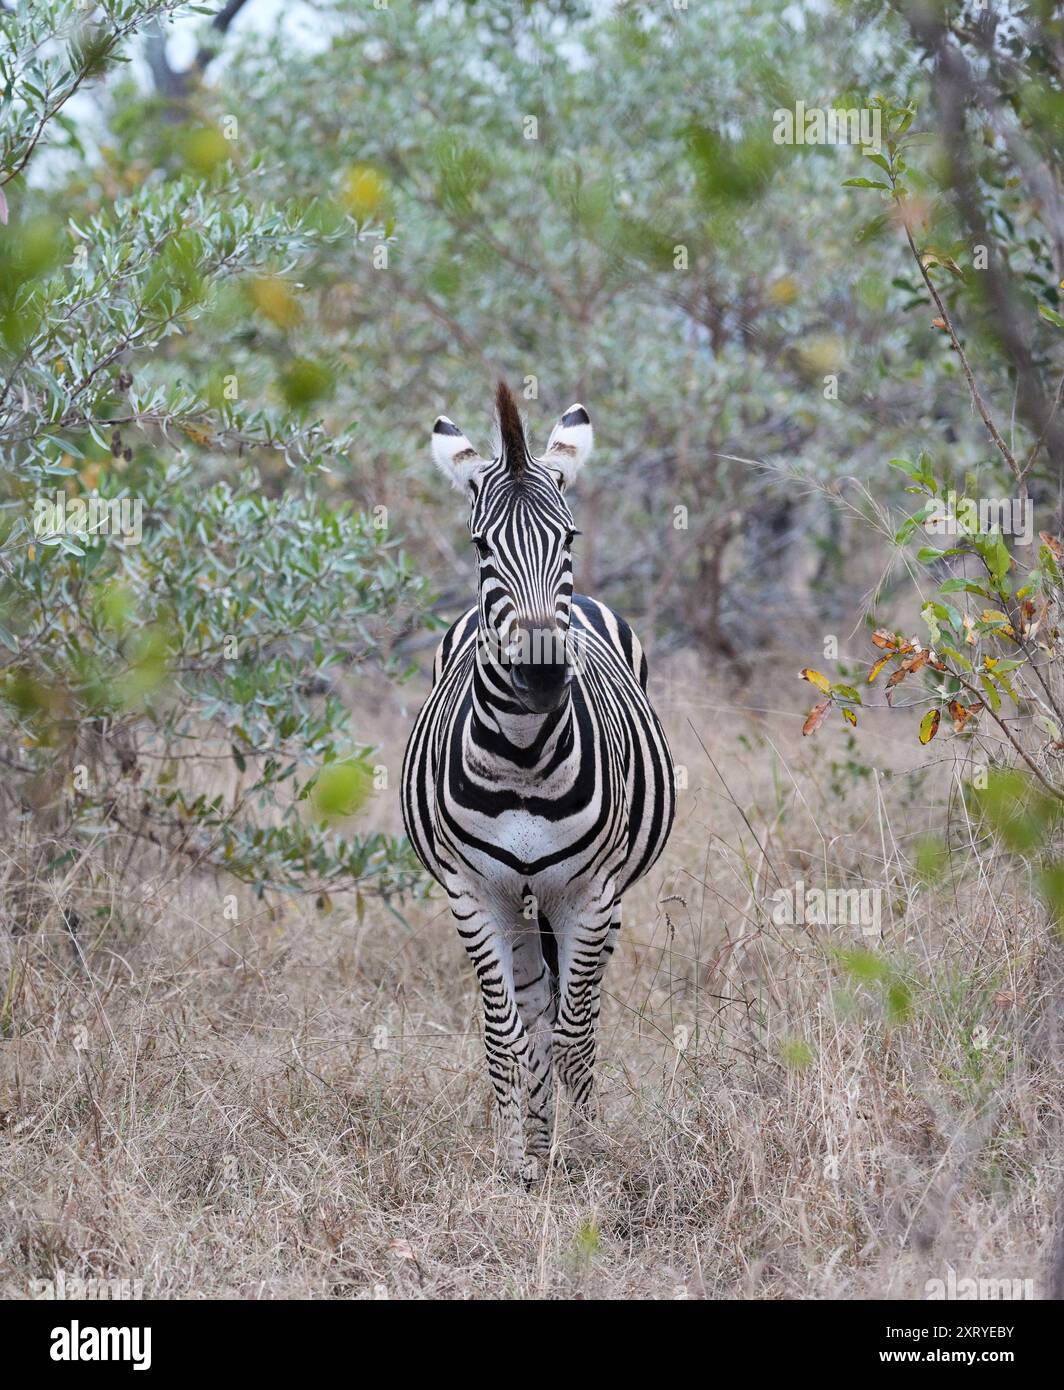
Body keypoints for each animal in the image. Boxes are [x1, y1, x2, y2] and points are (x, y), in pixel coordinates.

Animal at [401, 381, 675, 1180]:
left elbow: (575, 1034)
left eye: (570, 539)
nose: (544, 675)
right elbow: (507, 1033)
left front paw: (579, 1163)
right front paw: (513, 1165)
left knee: (574, 1014)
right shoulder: (474, 894)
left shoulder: (590, 894)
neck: (523, 756)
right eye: (480, 546)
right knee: (532, 1010)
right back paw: (535, 1142)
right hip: (520, 907)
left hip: (598, 903)